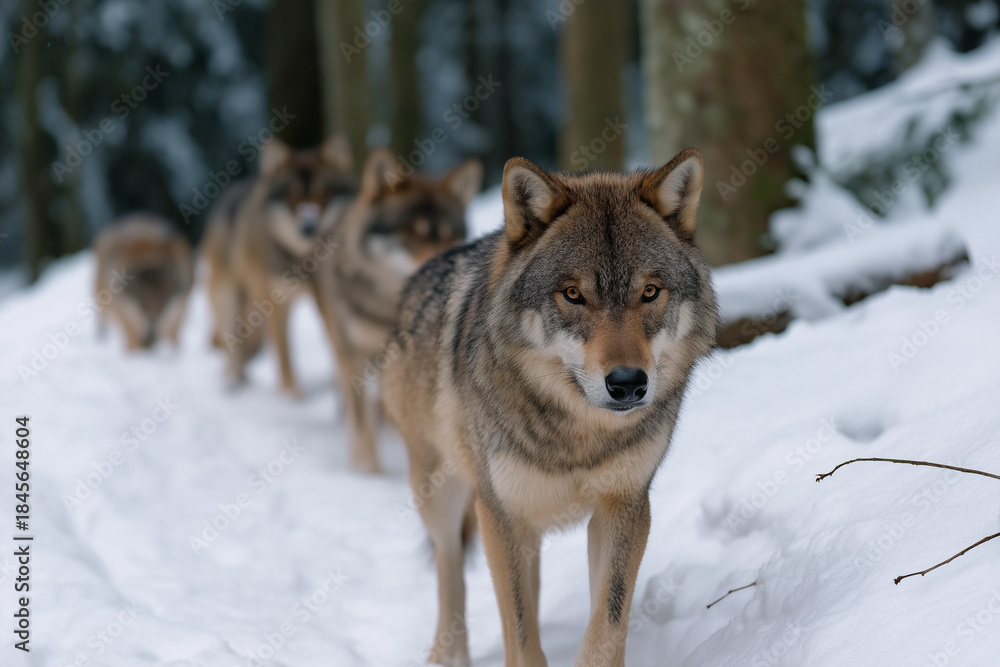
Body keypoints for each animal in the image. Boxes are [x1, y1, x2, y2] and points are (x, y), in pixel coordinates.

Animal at [93, 214, 194, 351]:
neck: (150, 255)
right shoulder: (125, 311)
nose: (151, 332)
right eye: (141, 305)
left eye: (163, 304)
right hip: (102, 301)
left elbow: (174, 337)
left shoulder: (180, 307)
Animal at [202, 134, 356, 395]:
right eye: (291, 198)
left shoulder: (326, 298)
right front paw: (291, 395)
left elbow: (336, 342)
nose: (307, 227)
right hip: (230, 299)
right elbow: (284, 353)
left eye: (323, 195)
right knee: (231, 343)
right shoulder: (274, 302)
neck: (302, 259)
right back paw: (233, 380)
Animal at [328, 148, 481, 472]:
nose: (440, 264)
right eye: (409, 234)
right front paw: (367, 472)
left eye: (449, 236)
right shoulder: (353, 355)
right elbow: (361, 422)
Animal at [381, 150, 718, 666]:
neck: (578, 437)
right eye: (573, 294)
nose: (627, 384)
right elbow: (521, 640)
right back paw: (447, 654)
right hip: (442, 494)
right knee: (448, 565)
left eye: (650, 292)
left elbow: (606, 627)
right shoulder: (500, 515)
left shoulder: (624, 507)